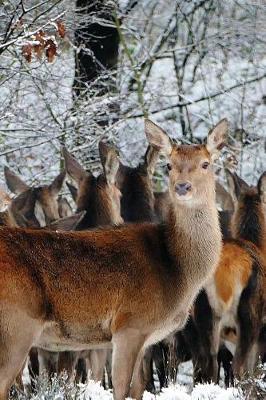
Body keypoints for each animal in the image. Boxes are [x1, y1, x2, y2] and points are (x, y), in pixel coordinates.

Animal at [0, 117, 227, 398]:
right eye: (169, 164)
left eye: (206, 163)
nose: (182, 186)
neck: (178, 270)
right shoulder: (129, 325)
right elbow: (121, 387)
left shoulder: (145, 337)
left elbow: (137, 386)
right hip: (17, 326)